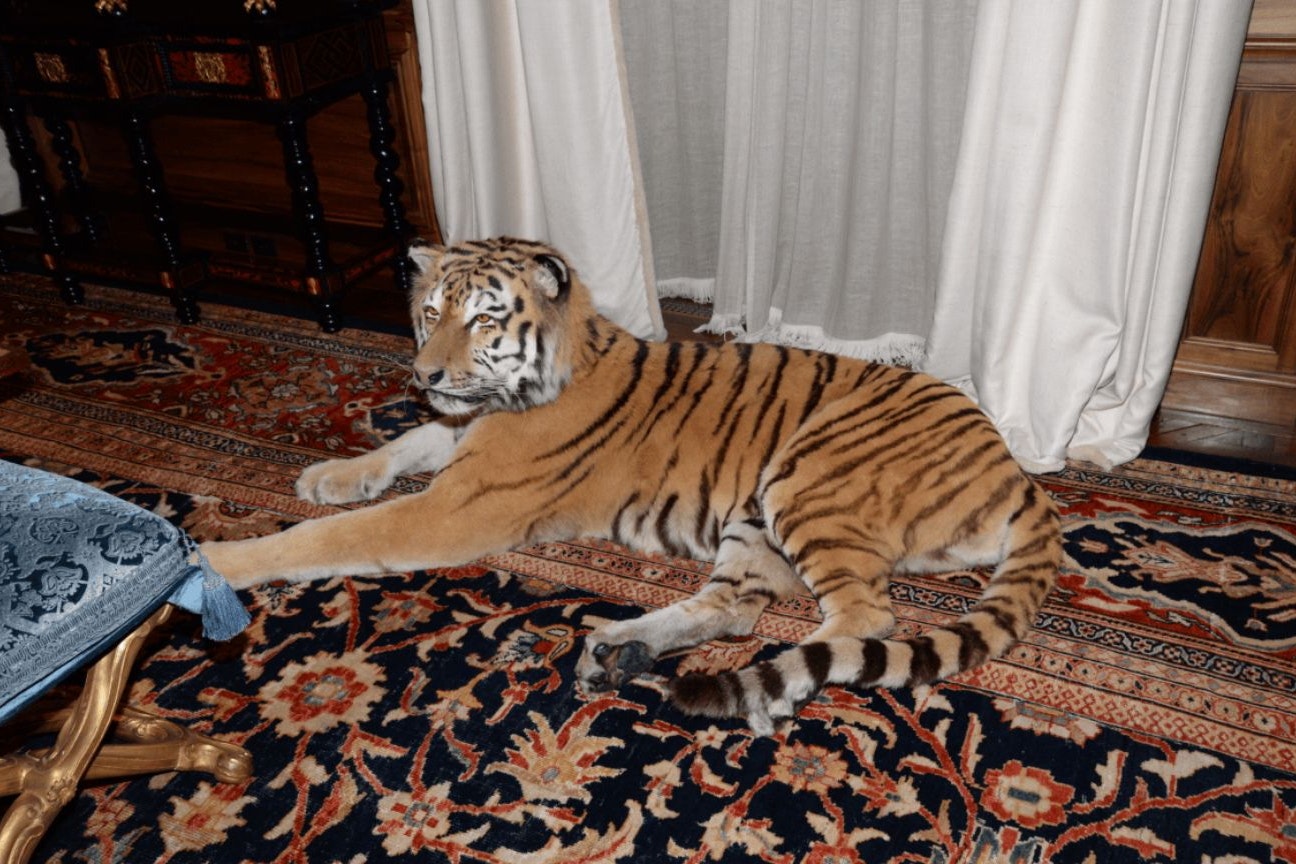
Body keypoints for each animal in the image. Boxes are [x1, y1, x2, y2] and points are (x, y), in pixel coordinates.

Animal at [201, 236, 1061, 736]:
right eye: (430, 312)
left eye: (482, 319)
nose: (425, 374)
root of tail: (1015, 472)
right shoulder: (457, 439)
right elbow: (407, 441)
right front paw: (328, 474)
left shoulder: (453, 509)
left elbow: (322, 539)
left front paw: (213, 562)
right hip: (754, 520)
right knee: (735, 607)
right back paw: (619, 650)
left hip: (810, 476)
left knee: (865, 619)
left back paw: (768, 689)